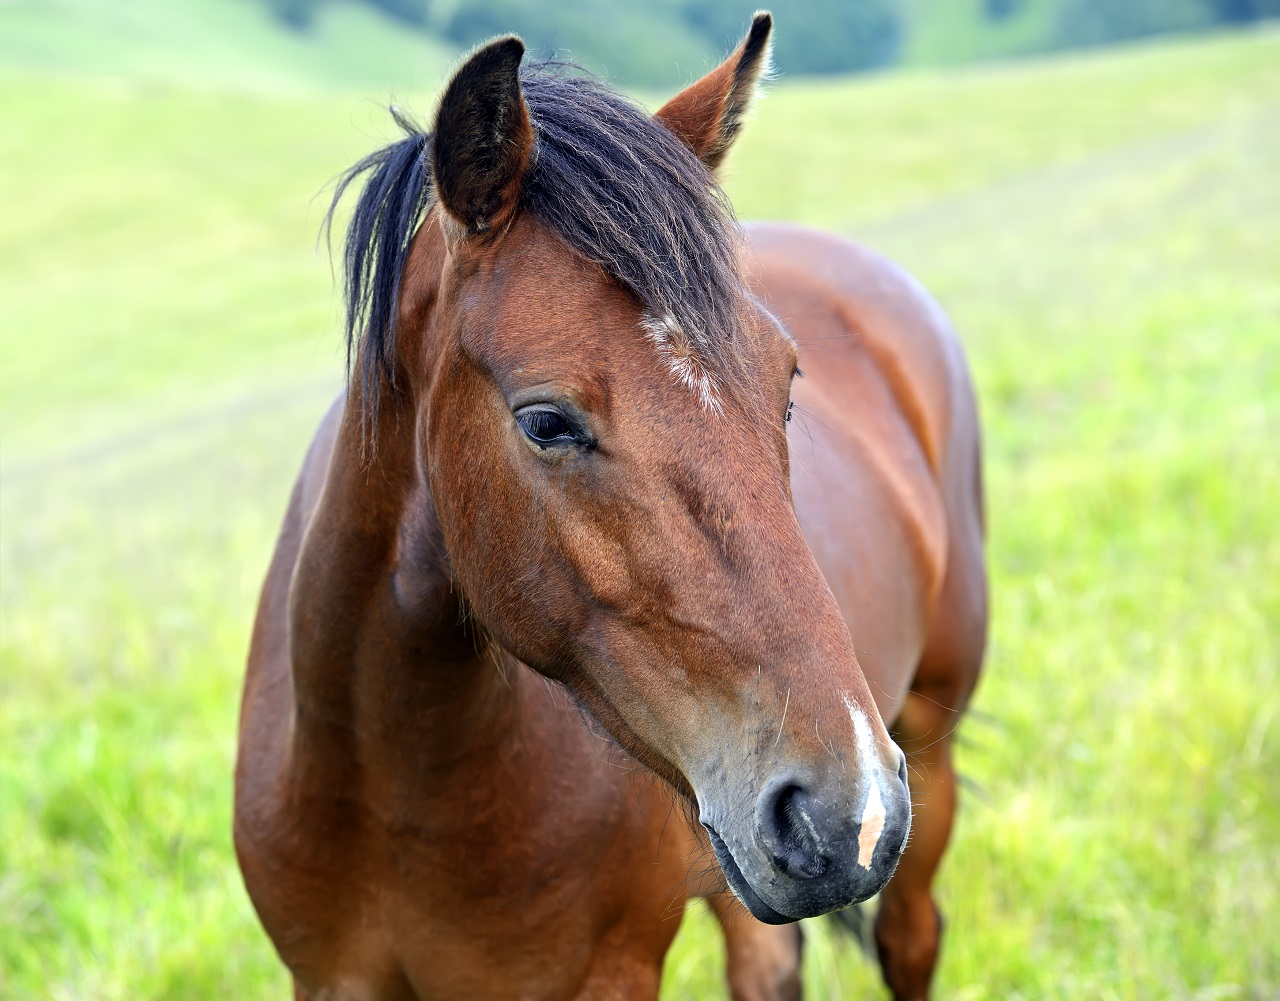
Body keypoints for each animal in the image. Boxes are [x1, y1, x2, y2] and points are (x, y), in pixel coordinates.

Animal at [232, 15, 988, 1001]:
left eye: (787, 385)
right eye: (546, 421)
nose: (844, 810)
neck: (392, 787)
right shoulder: (329, 976)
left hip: (928, 749)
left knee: (910, 936)